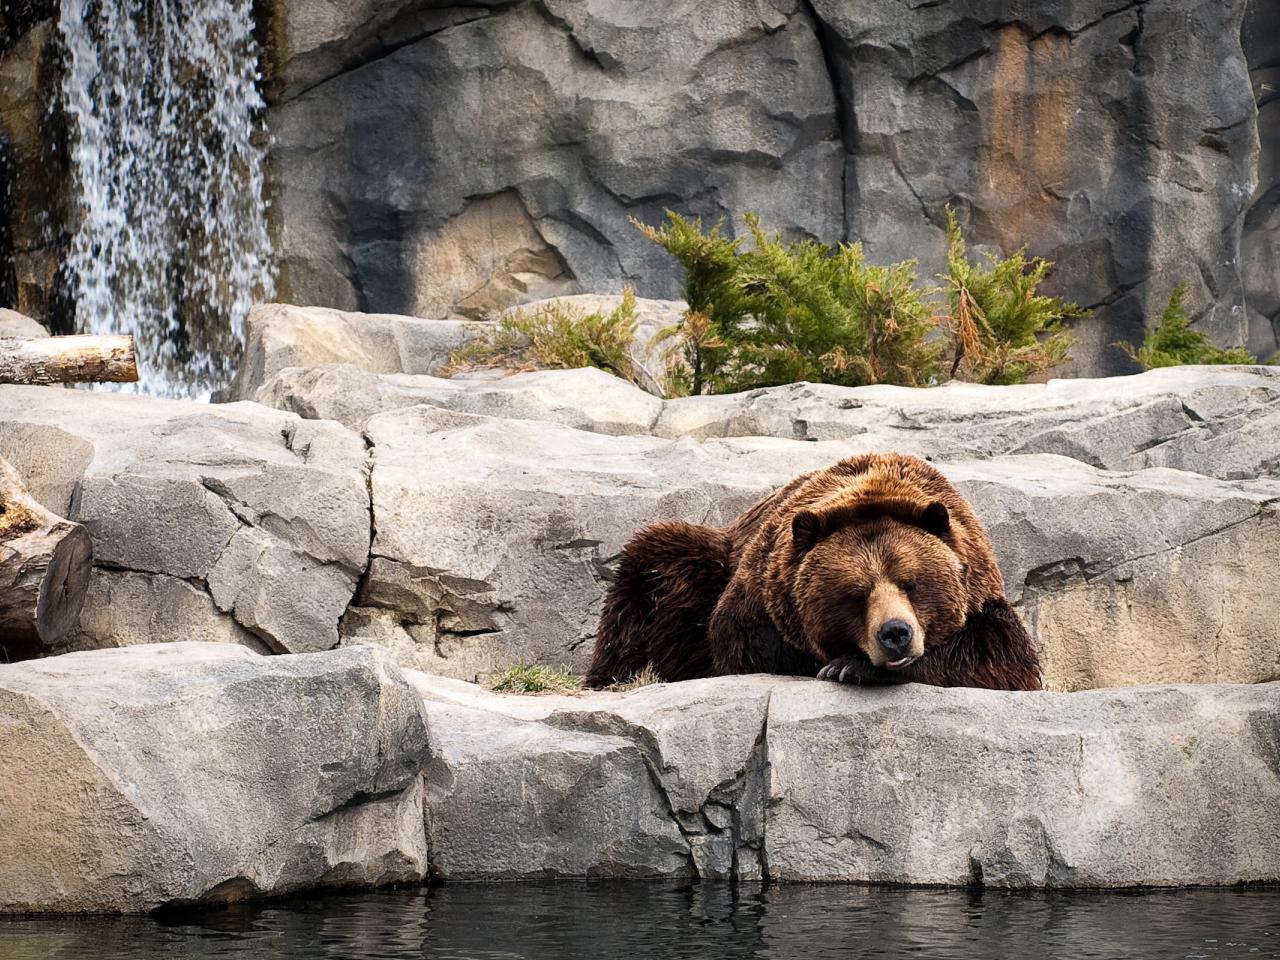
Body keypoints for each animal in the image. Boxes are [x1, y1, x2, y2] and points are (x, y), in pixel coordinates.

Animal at [586, 453, 1044, 691]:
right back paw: (613, 675)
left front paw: (851, 667)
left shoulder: (980, 591)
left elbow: (1000, 658)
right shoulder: (760, 592)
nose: (895, 633)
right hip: (704, 563)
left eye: (912, 583)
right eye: (856, 594)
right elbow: (747, 644)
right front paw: (842, 664)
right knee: (653, 566)